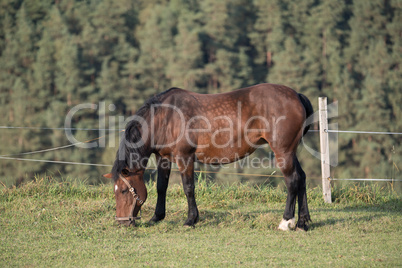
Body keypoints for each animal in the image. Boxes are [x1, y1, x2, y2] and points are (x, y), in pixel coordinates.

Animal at [104, 83, 314, 230]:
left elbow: (189, 188)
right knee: (302, 178)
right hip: (290, 151)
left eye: (124, 190)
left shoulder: (184, 158)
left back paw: (286, 222)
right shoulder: (163, 158)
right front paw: (157, 217)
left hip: (282, 151)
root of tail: (296, 95)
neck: (166, 117)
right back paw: (303, 222)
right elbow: (161, 187)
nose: (122, 222)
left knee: (292, 181)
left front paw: (191, 219)